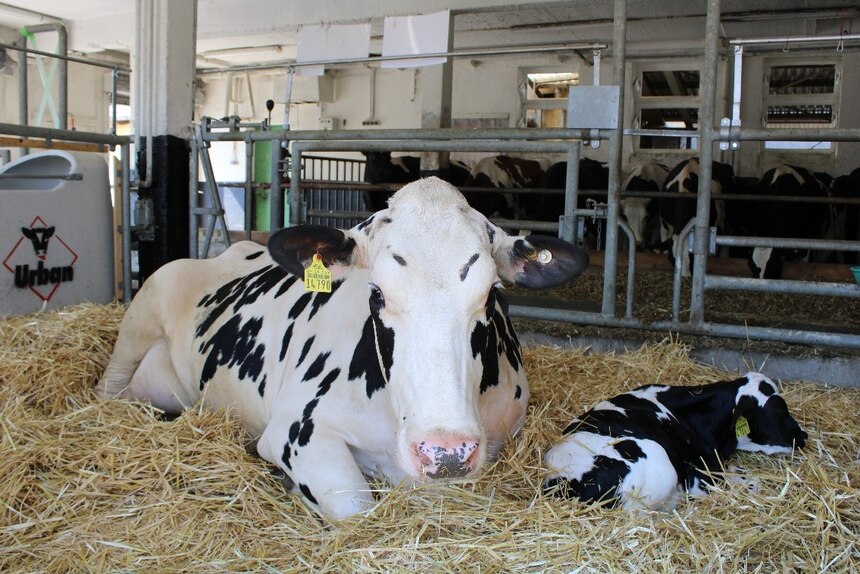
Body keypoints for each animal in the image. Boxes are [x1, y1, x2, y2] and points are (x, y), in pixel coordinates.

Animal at [97, 179, 588, 520]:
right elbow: (355, 505)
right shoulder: (296, 432)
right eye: (377, 293)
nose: (445, 452)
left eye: (490, 294)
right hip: (143, 309)